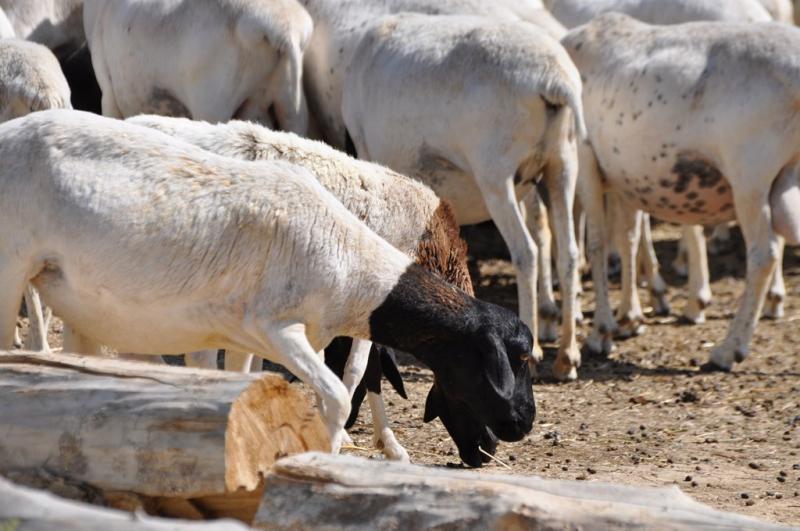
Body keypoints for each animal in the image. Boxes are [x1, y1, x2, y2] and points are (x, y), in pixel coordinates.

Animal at [341, 13, 585, 380]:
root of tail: (555, 81)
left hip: (495, 173)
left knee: (525, 251)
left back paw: (534, 351)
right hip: (562, 165)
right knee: (568, 252)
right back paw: (568, 356)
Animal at [563, 14, 800, 370]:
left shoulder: (587, 159)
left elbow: (597, 244)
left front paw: (601, 331)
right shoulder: (625, 177)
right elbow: (629, 238)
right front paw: (629, 317)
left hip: (750, 175)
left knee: (764, 254)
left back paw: (728, 349)